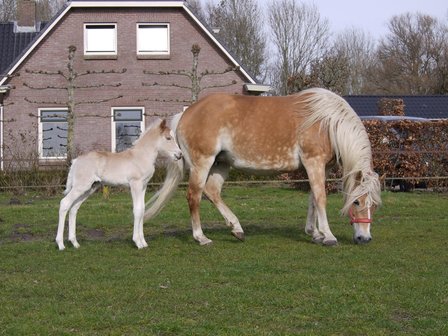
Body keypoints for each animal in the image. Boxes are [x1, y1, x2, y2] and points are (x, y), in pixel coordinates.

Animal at [56, 119, 182, 251]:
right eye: (168, 138)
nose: (179, 155)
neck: (141, 156)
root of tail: (76, 161)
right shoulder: (135, 184)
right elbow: (137, 210)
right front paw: (138, 242)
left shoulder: (143, 186)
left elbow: (142, 209)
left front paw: (144, 242)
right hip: (81, 187)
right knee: (65, 203)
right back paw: (61, 244)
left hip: (89, 188)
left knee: (74, 208)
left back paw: (75, 243)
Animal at [144, 88, 382, 247]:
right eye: (357, 201)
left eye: (374, 205)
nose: (364, 238)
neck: (326, 122)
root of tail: (186, 113)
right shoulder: (313, 162)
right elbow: (321, 198)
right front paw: (328, 236)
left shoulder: (321, 167)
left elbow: (313, 198)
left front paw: (314, 233)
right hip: (203, 163)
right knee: (194, 195)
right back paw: (201, 237)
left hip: (221, 164)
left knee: (212, 192)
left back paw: (237, 229)